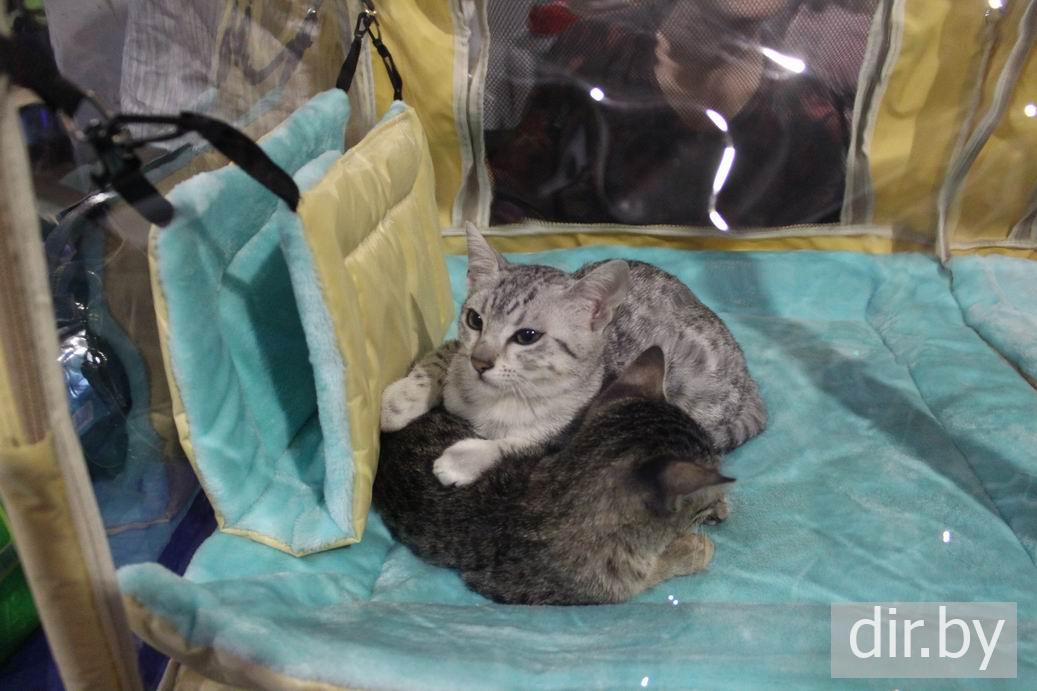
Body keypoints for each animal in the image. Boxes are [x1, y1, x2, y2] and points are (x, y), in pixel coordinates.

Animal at [381, 223, 766, 486]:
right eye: (475, 320)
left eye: (527, 336)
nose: (480, 361)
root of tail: (750, 381)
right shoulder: (458, 351)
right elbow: (441, 356)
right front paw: (399, 401)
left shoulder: (572, 433)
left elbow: (516, 444)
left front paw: (464, 457)